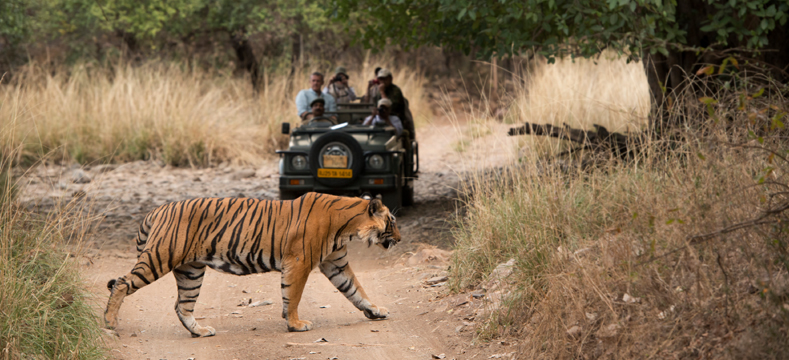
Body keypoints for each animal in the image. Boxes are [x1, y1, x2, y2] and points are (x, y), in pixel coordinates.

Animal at [103, 193, 400, 336]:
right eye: (392, 222)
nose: (399, 238)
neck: (347, 227)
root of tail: (156, 210)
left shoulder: (335, 263)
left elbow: (356, 290)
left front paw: (376, 311)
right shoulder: (299, 262)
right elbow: (293, 296)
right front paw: (295, 324)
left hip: (191, 271)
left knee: (182, 306)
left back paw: (201, 332)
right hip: (160, 257)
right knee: (122, 283)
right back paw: (109, 322)